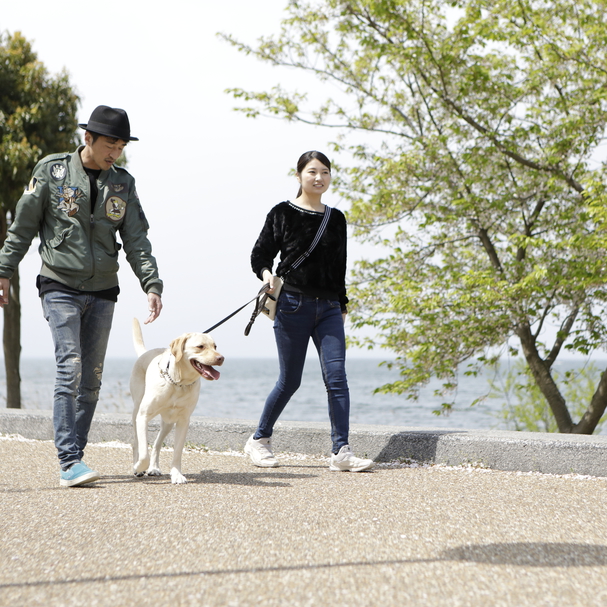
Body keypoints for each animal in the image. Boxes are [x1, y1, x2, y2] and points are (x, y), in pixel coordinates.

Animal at [129, 318, 224, 484]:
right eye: (200, 346)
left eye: (215, 346)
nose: (221, 358)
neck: (179, 383)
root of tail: (145, 353)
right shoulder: (143, 416)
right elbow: (143, 451)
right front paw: (139, 467)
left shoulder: (183, 421)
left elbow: (177, 451)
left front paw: (177, 474)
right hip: (136, 413)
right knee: (136, 443)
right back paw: (139, 468)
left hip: (168, 421)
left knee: (157, 444)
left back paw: (154, 468)